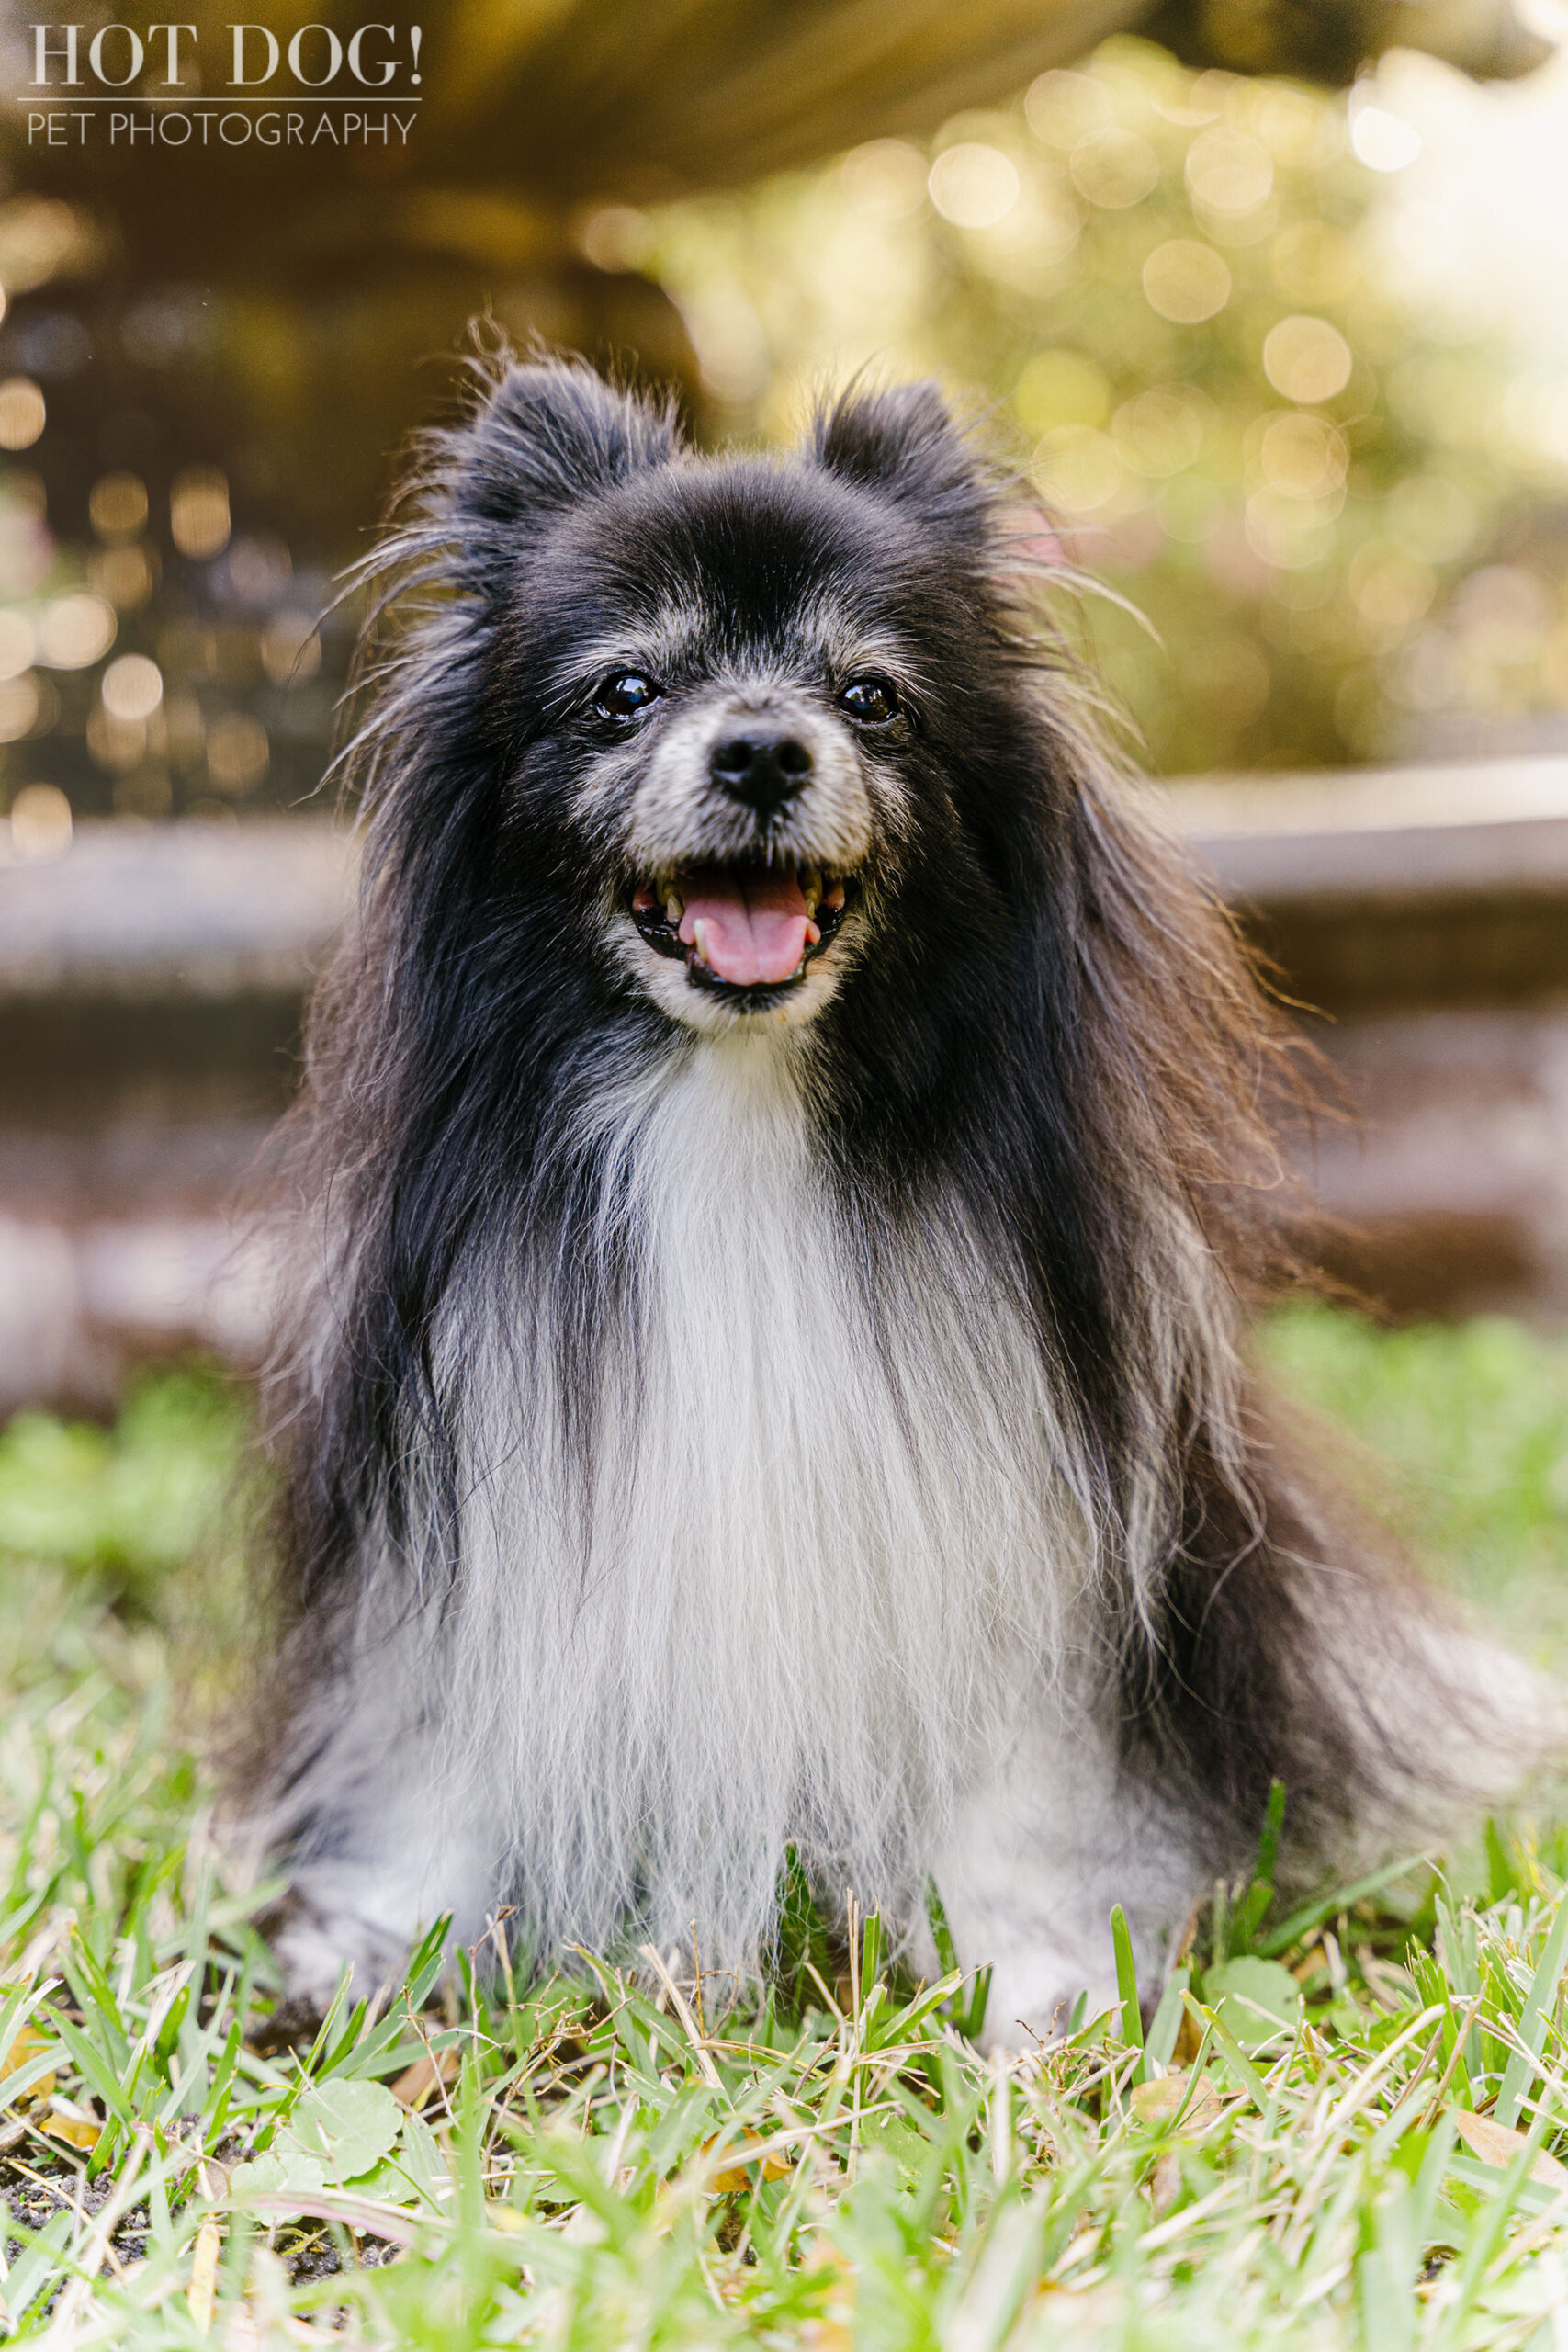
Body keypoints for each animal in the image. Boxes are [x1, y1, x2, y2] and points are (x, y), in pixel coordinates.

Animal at [251, 353, 1551, 2041]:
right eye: (624, 693)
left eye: (869, 696)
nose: (759, 750)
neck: (737, 1097)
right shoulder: (485, 1483)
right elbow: (437, 1752)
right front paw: (378, 1945)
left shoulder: (1015, 1501)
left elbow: (1024, 1779)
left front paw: (1040, 1979)